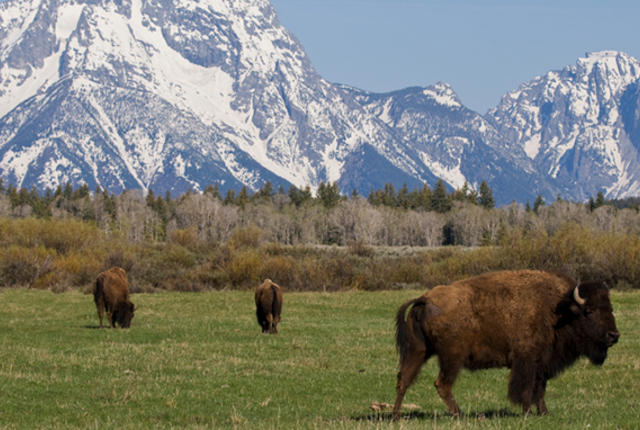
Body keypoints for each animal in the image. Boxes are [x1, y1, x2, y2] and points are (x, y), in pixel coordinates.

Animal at [393, 270, 619, 418]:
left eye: (610, 308)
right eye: (589, 311)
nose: (614, 335)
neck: (558, 310)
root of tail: (425, 298)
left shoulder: (543, 363)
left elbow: (540, 388)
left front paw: (544, 413)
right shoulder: (527, 360)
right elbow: (526, 389)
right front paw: (527, 413)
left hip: (418, 351)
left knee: (403, 380)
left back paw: (395, 416)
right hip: (452, 357)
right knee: (442, 384)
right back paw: (460, 415)